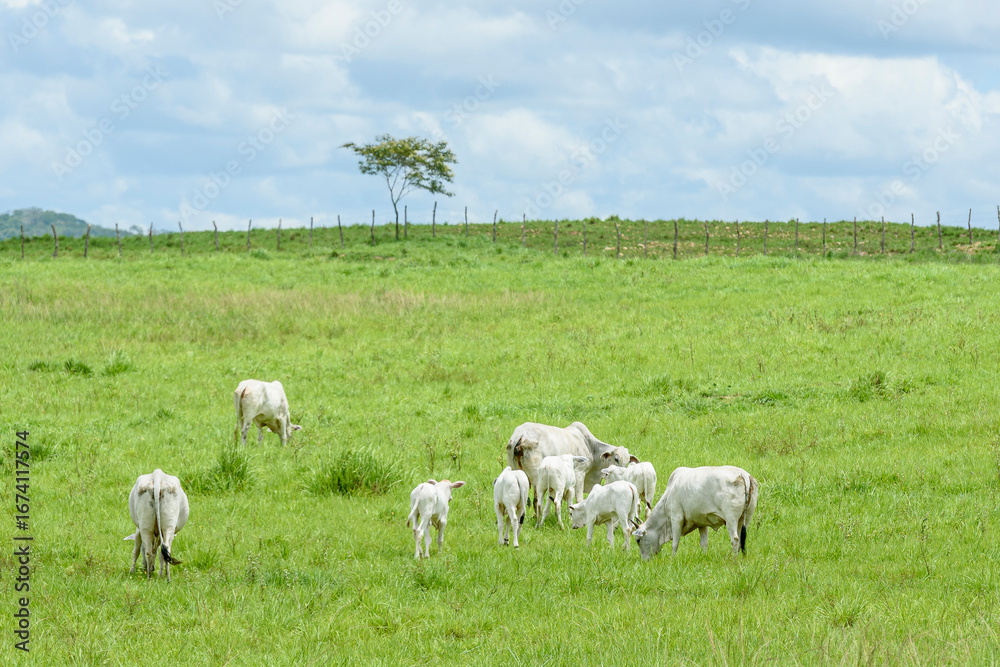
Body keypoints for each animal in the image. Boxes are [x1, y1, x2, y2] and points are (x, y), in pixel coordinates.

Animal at [506, 422, 636, 516]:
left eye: (627, 461)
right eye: (616, 459)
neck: (589, 446)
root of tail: (520, 436)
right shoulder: (579, 474)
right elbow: (579, 498)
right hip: (537, 479)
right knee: (536, 501)